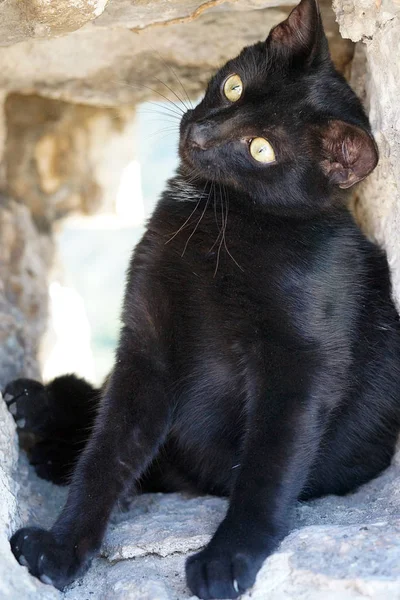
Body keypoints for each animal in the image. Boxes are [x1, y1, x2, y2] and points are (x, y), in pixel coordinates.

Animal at [3, 2, 400, 596]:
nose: (202, 132)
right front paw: (62, 548)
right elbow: (106, 451)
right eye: (233, 87)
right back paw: (34, 403)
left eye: (262, 149)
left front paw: (227, 559)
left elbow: (267, 469)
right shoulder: (146, 341)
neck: (218, 221)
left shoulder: (301, 369)